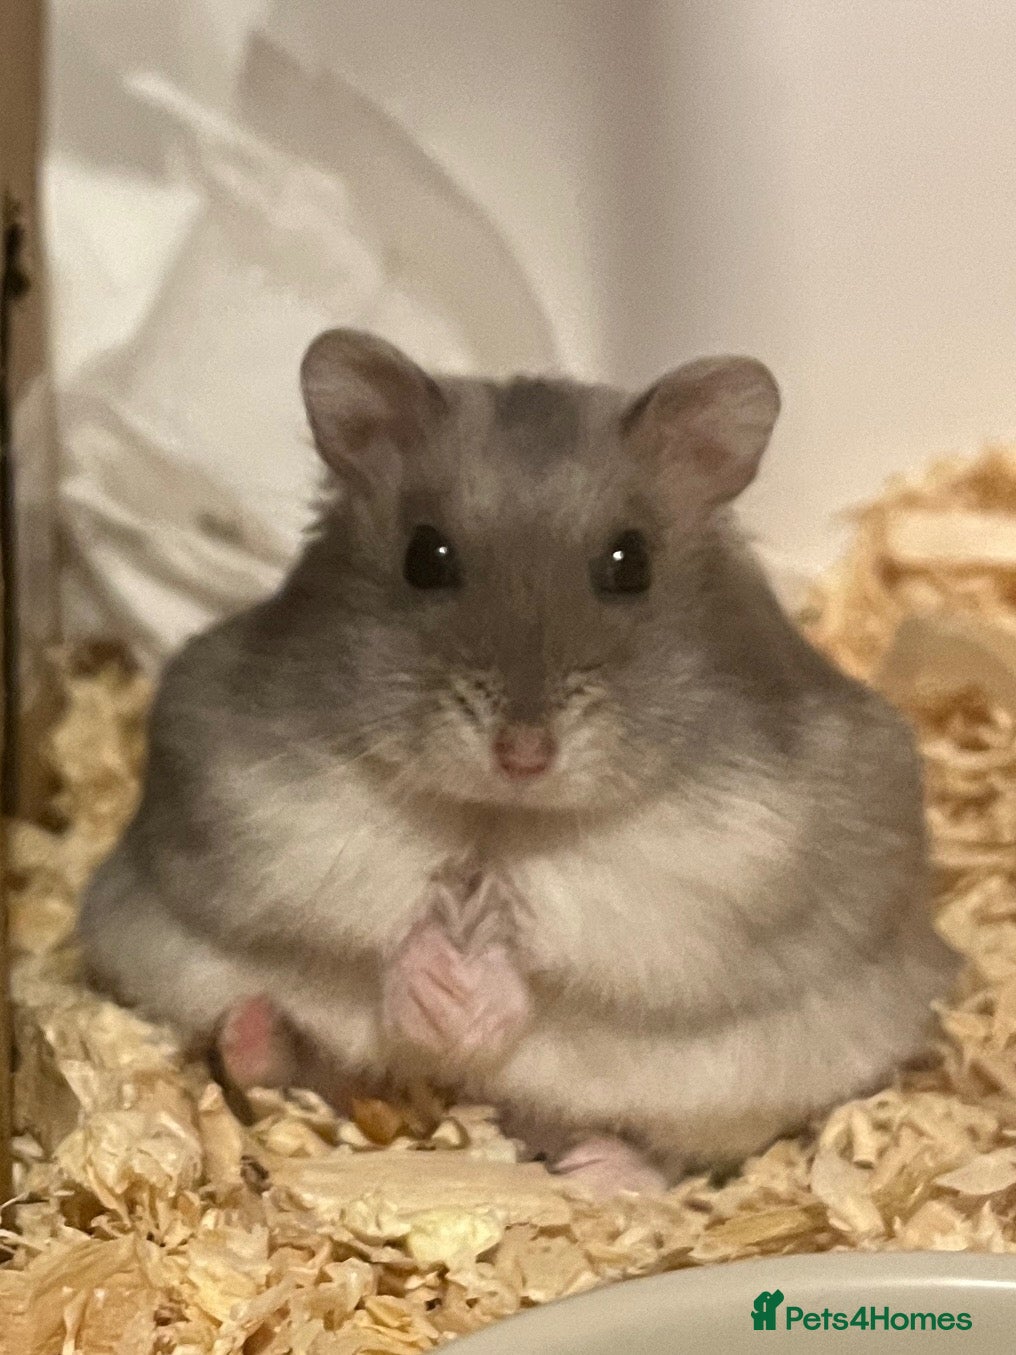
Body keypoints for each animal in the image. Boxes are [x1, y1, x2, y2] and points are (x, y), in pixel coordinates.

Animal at [79, 329, 957, 1194]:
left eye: (630, 562)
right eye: (425, 557)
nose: (523, 753)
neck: (498, 817)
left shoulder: (712, 869)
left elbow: (565, 950)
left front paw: (475, 1000)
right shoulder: (263, 800)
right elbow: (370, 928)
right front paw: (438, 987)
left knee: (678, 1155)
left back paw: (599, 1169)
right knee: (303, 1064)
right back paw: (254, 1030)